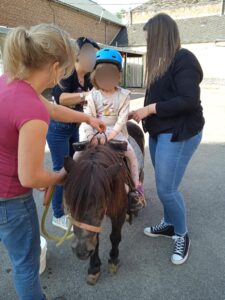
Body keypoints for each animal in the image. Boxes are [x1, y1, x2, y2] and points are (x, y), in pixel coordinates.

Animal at [63, 121, 145, 284]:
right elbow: (96, 240)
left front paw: (113, 260)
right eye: (70, 204)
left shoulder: (118, 214)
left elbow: (115, 237)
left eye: (100, 204)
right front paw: (94, 268)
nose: (81, 251)